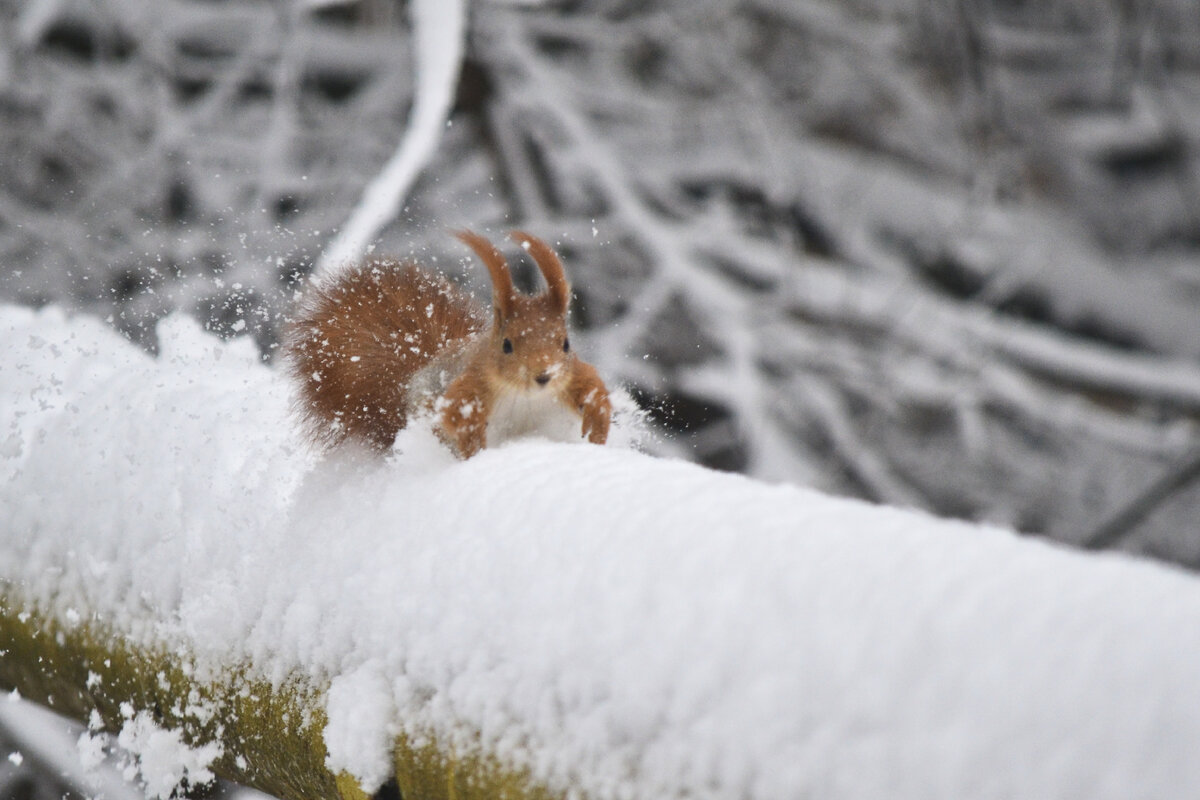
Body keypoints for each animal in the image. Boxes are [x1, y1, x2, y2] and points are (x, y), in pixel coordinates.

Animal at [285, 227, 614, 460]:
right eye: (506, 345)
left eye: (566, 344)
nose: (543, 376)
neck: (526, 396)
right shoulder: (470, 382)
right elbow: (454, 412)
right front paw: (471, 432)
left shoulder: (572, 376)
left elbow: (593, 390)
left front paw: (597, 424)